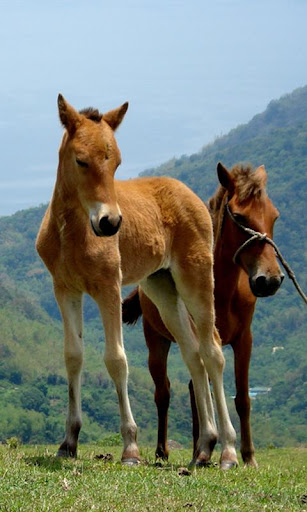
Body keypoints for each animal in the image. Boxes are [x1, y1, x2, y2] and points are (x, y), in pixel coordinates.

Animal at [122, 162, 284, 466]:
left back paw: (202, 448)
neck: (224, 289)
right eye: (239, 216)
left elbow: (242, 399)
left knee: (194, 386)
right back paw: (164, 451)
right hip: (156, 341)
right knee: (164, 393)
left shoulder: (244, 339)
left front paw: (248, 456)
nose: (269, 280)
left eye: (274, 215)